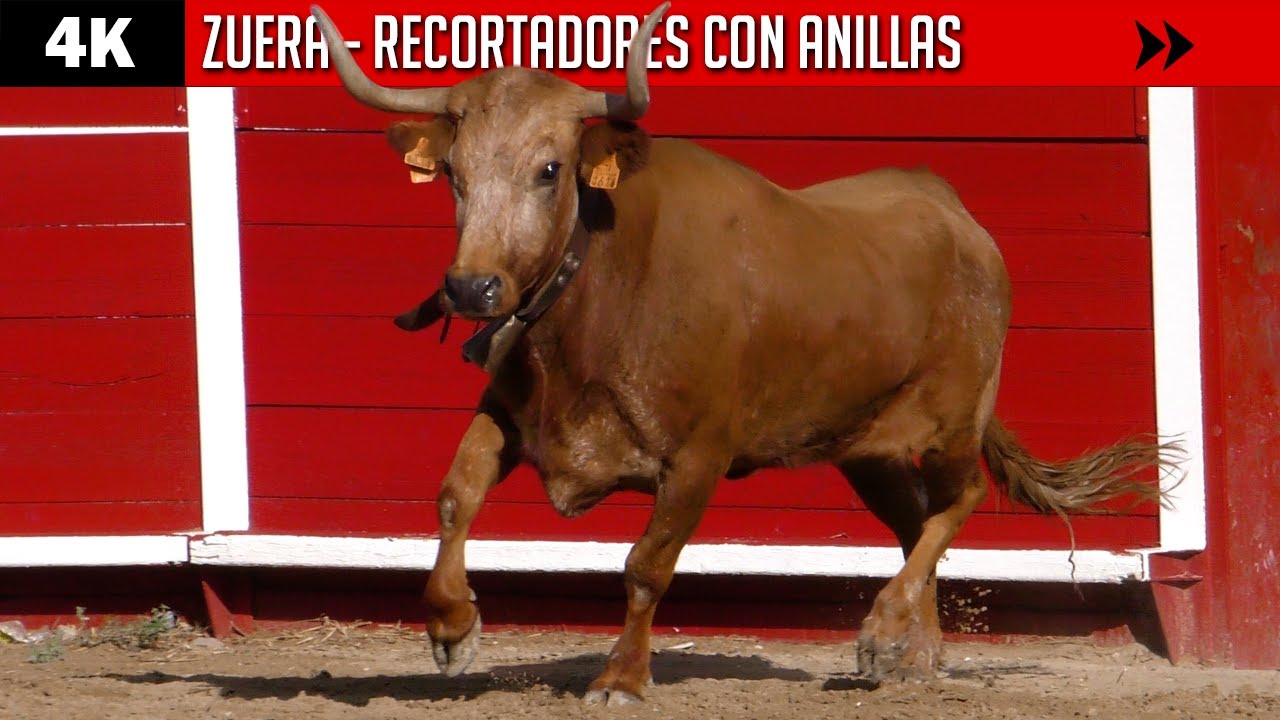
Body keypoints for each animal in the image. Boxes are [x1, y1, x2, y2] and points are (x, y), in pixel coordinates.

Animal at [310, 3, 1182, 705]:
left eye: (550, 169)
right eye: (453, 174)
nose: (472, 288)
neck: (602, 290)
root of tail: (951, 206)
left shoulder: (699, 456)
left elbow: (647, 563)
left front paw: (621, 679)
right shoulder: (511, 415)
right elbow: (454, 498)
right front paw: (453, 629)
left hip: (953, 422)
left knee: (958, 501)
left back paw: (885, 629)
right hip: (863, 445)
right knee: (914, 522)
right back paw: (912, 656)